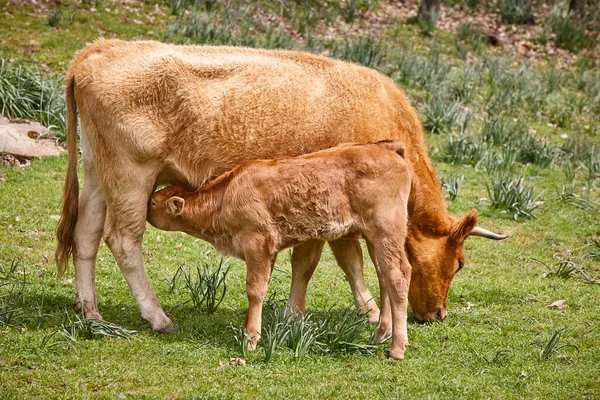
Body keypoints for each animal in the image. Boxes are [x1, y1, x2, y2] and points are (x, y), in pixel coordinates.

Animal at [56, 39, 506, 334]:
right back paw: (158, 317)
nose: (437, 315)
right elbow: (331, 261)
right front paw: (368, 313)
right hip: (132, 175)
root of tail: (99, 50)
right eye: (459, 263)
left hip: (98, 172)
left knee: (85, 234)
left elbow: (340, 261)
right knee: (123, 239)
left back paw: (90, 311)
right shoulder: (334, 213)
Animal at [148, 140, 414, 360]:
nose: (145, 204)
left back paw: (397, 348)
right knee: (383, 276)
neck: (227, 195)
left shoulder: (256, 244)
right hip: (374, 238)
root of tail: (383, 147)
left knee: (397, 275)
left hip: (387, 231)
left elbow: (255, 289)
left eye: (152, 202)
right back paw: (381, 335)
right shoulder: (270, 252)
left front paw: (250, 339)